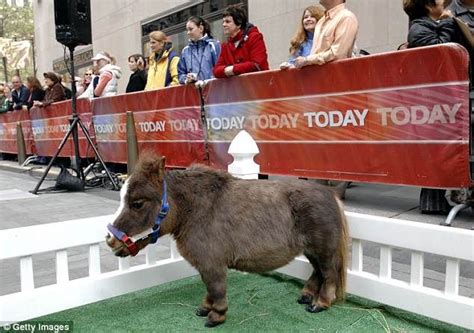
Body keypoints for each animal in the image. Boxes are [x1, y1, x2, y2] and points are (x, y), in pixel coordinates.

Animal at [106, 153, 348, 326]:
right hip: (311, 250)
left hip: (324, 250)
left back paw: (320, 303)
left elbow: (216, 287)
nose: (110, 240)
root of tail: (331, 194)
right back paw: (307, 296)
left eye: (137, 203)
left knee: (328, 274)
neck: (197, 210)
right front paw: (205, 308)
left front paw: (216, 315)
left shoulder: (213, 264)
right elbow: (208, 287)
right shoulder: (206, 264)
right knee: (317, 272)